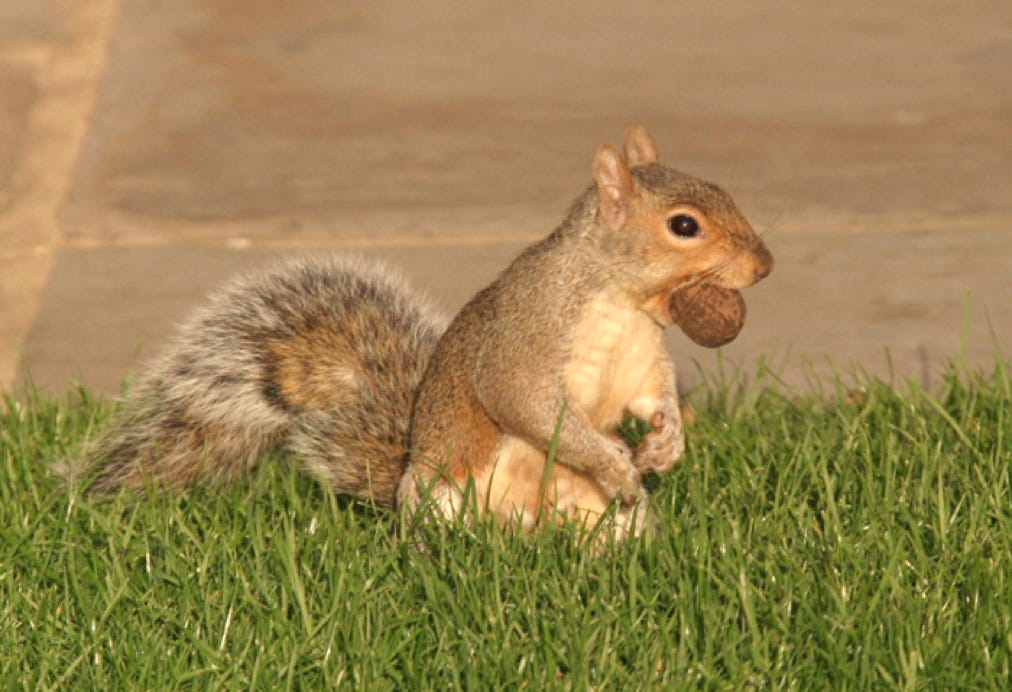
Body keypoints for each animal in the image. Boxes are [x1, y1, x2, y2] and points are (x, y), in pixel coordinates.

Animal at [77, 126, 772, 539]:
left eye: (723, 188)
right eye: (684, 226)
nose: (763, 266)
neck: (621, 296)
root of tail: (526, 530)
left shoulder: (642, 357)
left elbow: (653, 397)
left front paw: (668, 442)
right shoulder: (526, 337)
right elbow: (526, 404)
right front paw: (617, 461)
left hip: (596, 514)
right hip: (446, 496)